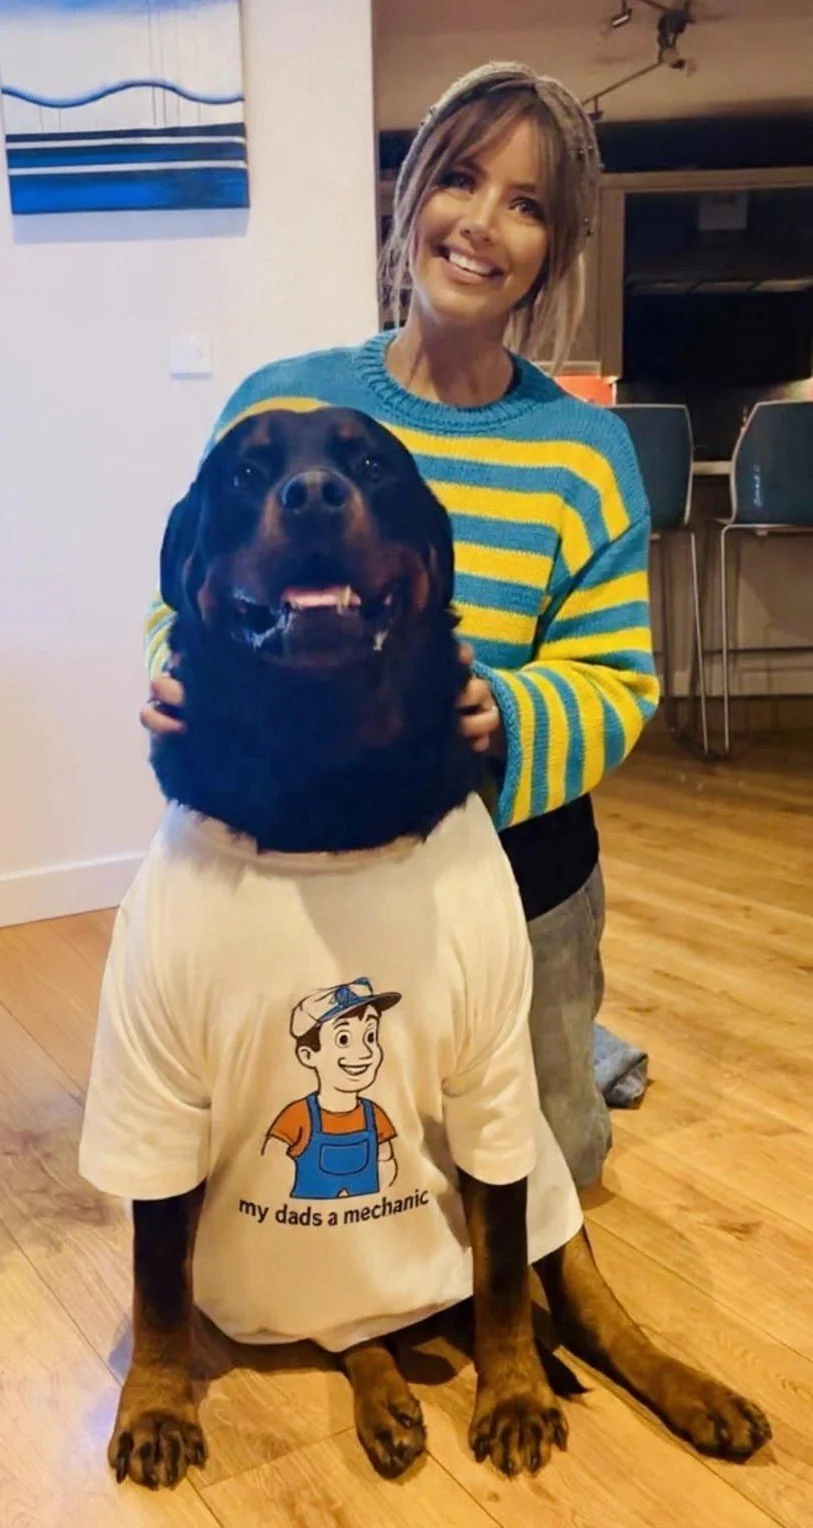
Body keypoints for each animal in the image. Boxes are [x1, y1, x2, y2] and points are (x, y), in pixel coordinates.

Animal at [79, 406, 771, 1490]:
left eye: (370, 463)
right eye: (244, 473)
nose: (315, 496)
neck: (324, 777)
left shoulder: (492, 1083)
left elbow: (503, 1270)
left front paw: (516, 1391)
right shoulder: (154, 1089)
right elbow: (154, 1284)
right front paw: (152, 1406)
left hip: (552, 1184)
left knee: (582, 1307)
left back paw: (687, 1388)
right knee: (348, 1329)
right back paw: (387, 1394)